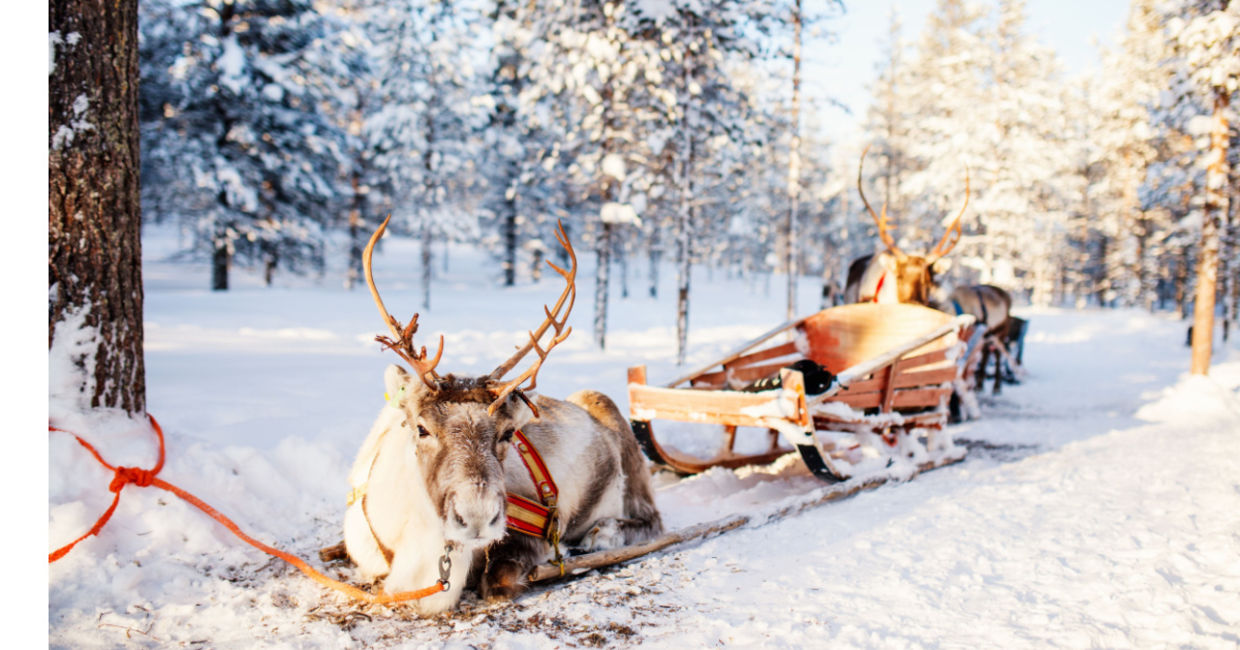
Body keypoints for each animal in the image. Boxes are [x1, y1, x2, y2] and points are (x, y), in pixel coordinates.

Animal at [342, 216, 663, 615]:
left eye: (508, 433)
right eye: (421, 429)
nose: (477, 515)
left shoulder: (530, 535)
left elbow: (498, 578)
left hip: (616, 432)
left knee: (651, 520)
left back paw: (599, 534)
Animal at [845, 145, 1015, 397]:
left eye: (928, 279)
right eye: (899, 276)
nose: (914, 304)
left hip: (999, 333)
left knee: (992, 355)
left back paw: (992, 386)